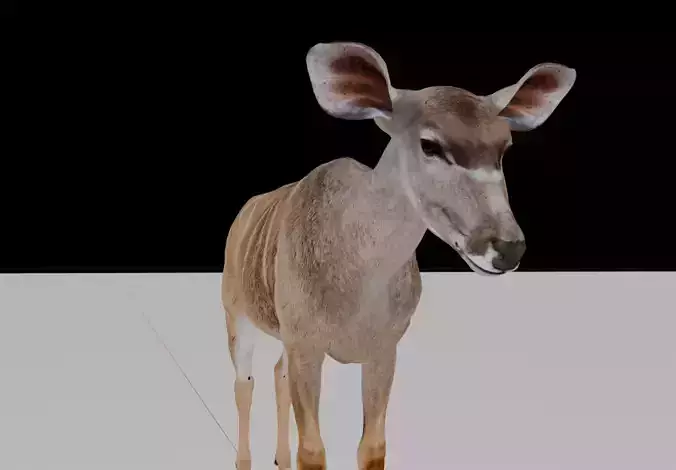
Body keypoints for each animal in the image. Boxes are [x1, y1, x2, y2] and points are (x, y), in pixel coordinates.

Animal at [222, 41, 576, 470]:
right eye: (430, 145)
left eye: (504, 147)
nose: (506, 248)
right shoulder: (306, 343)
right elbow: (313, 450)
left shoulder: (383, 349)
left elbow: (372, 447)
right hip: (237, 315)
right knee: (244, 382)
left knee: (276, 374)